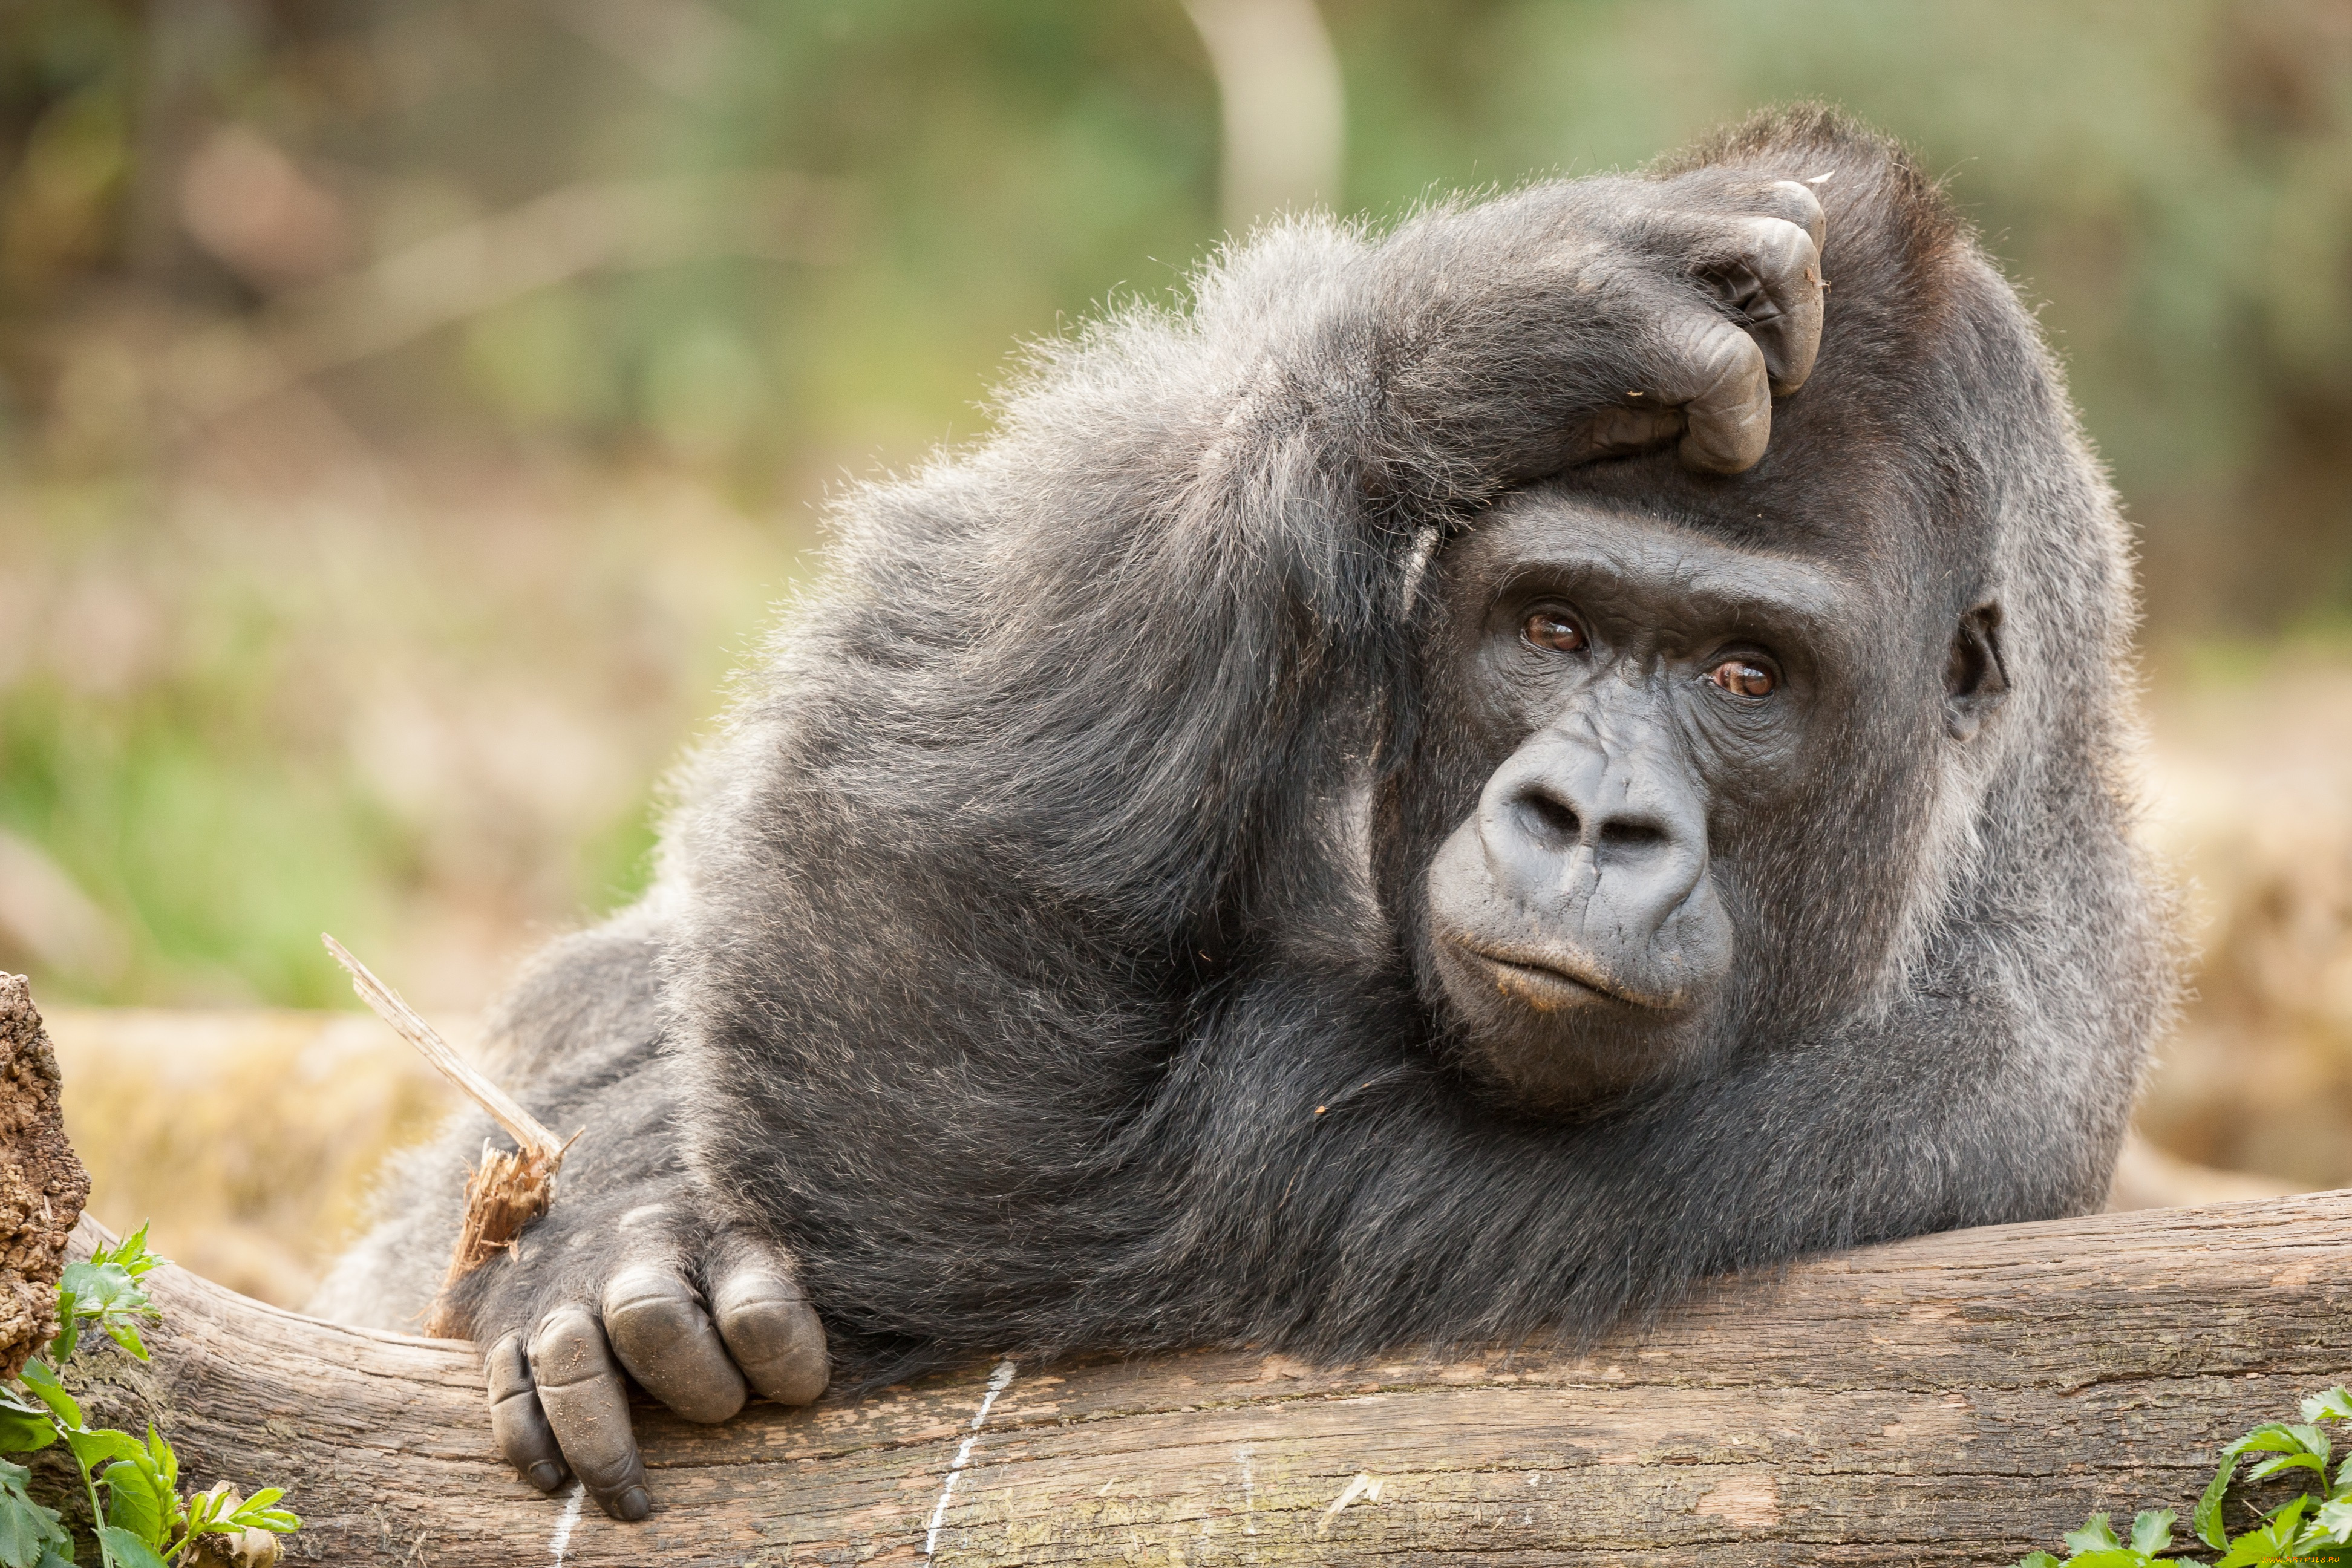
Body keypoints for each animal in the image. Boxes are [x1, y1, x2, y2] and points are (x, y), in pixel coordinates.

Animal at [317, 107, 2183, 1523]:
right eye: (1553, 628)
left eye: (1748, 676)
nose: (1587, 820)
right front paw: (1463, 335)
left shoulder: (1939, 1103)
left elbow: (968, 1170)